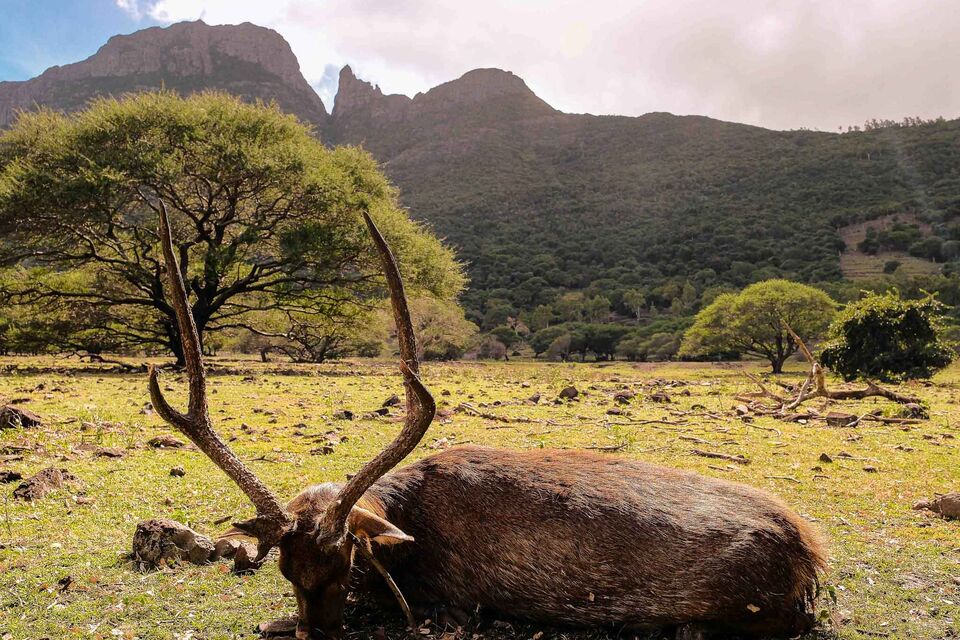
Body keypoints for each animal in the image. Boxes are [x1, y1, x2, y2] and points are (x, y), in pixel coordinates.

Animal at [148, 201, 824, 640]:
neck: (410, 530)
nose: (320, 634)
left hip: (755, 607)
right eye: (287, 570)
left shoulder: (452, 601)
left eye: (345, 565)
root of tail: (811, 551)